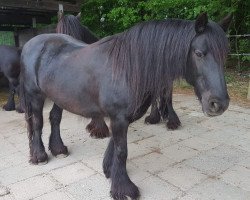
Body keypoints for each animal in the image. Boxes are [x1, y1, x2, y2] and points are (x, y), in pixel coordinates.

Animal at [20, 13, 232, 199]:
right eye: (199, 53)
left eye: (225, 55)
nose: (218, 104)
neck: (128, 68)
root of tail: (31, 43)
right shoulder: (119, 118)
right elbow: (122, 150)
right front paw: (124, 188)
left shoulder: (123, 117)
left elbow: (115, 144)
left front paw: (109, 170)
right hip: (35, 96)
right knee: (37, 123)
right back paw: (39, 156)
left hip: (59, 96)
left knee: (55, 118)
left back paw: (58, 149)